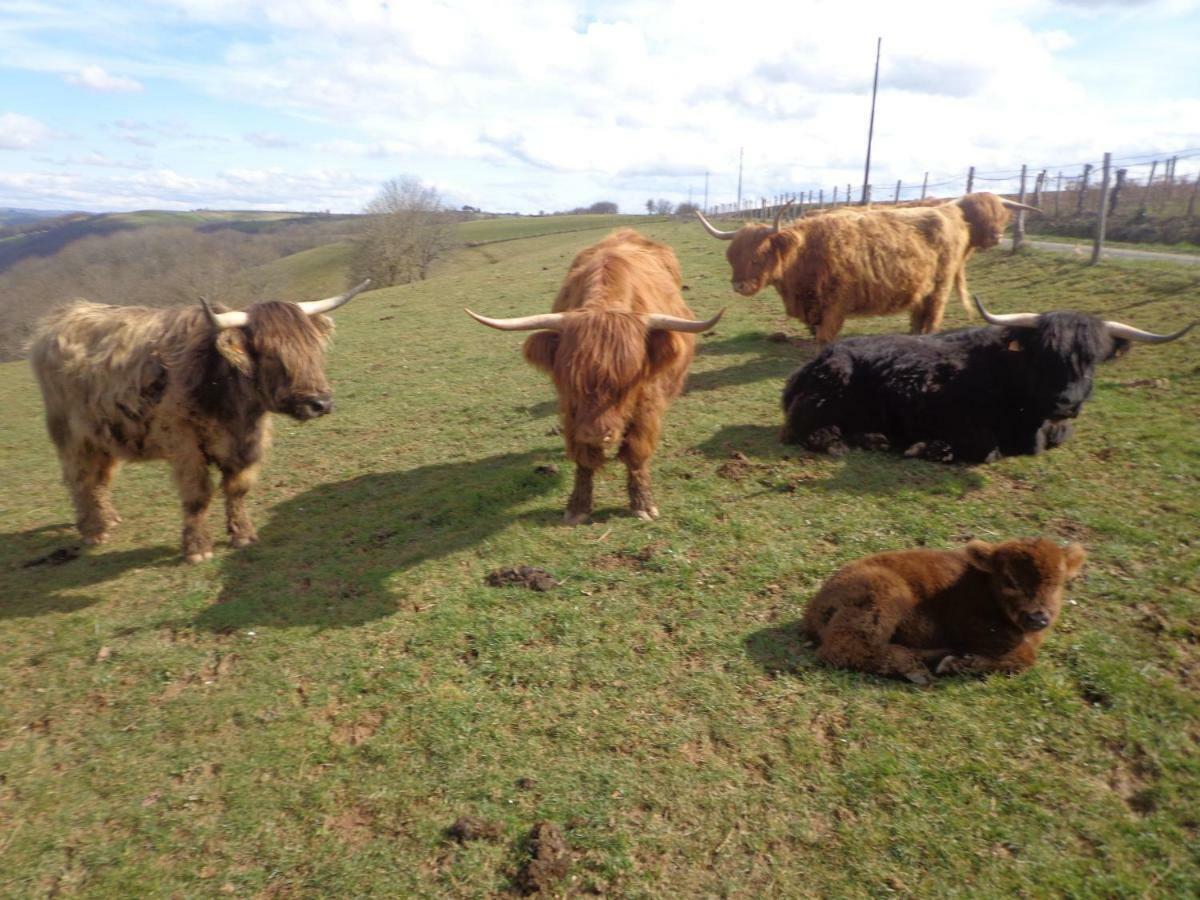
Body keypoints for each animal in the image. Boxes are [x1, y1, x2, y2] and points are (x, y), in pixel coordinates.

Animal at [31, 282, 369, 564]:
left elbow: (237, 488)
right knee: (78, 478)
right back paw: (93, 530)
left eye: (314, 348)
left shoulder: (248, 445)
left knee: (100, 477)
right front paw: (197, 549)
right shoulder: (185, 446)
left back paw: (109, 518)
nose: (320, 403)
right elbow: (198, 495)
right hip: (70, 435)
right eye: (272, 354)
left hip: (104, 435)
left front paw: (243, 535)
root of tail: (61, 317)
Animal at [465, 232, 720, 525]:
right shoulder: (571, 411)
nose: (597, 433)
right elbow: (583, 458)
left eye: (628, 381)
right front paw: (578, 506)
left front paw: (643, 504)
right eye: (570, 377)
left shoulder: (647, 404)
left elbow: (636, 453)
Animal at [700, 192, 1036, 343]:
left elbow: (824, 339)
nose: (738, 286)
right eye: (732, 257)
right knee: (918, 317)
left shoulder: (835, 305)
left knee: (931, 319)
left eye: (758, 257)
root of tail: (948, 210)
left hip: (939, 288)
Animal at [777, 297, 1190, 465]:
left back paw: (874, 439)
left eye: (1091, 360)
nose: (1067, 402)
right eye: (1042, 355)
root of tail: (813, 363)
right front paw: (928, 448)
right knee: (808, 430)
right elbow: (986, 450)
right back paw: (844, 442)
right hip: (827, 394)